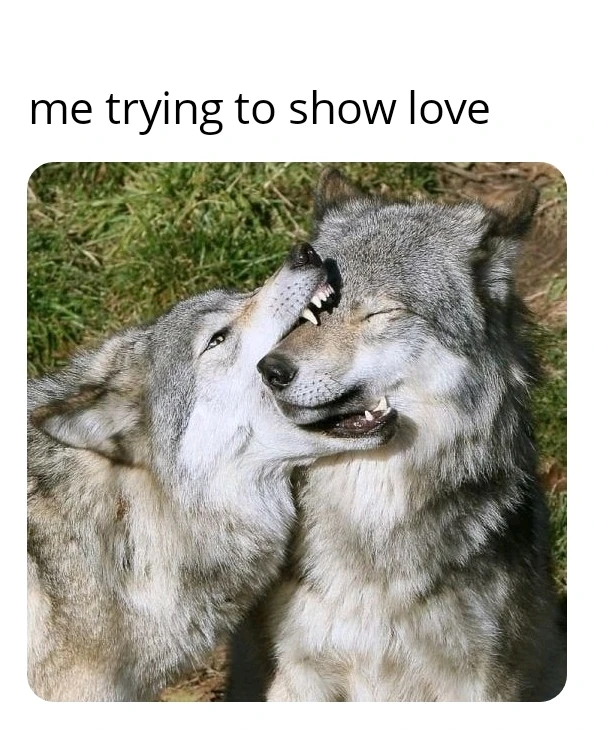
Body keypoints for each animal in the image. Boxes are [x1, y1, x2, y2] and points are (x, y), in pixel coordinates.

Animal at [245, 169, 566, 701]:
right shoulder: (299, 673)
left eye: (381, 314)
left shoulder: (479, 681)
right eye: (309, 310)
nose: (270, 369)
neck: (372, 524)